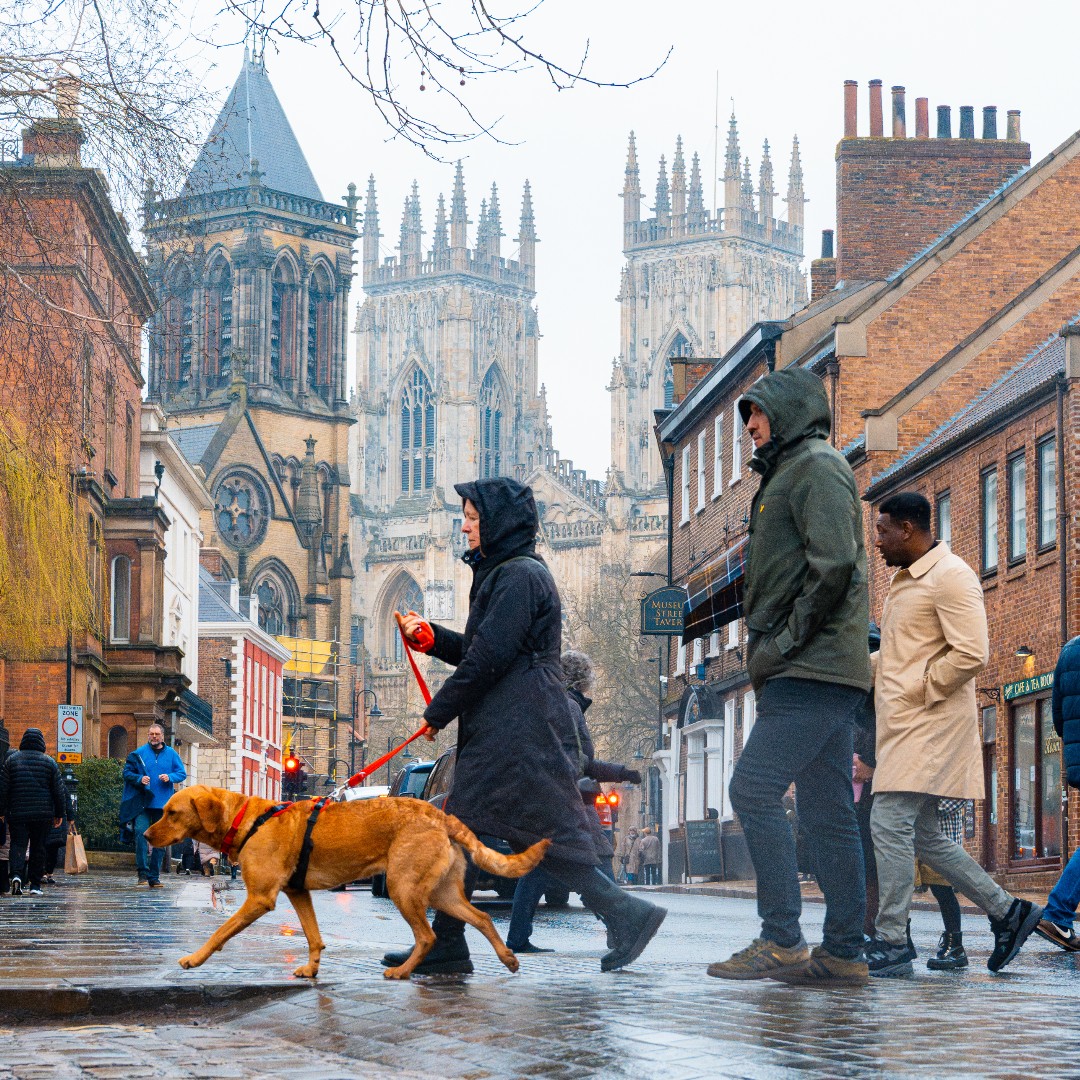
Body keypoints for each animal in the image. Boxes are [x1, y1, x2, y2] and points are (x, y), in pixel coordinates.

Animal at [143, 786, 548, 980]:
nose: (144, 835)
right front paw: (312, 968)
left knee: (428, 936)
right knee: (482, 918)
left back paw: (402, 971)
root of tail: (439, 815)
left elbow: (219, 932)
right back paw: (508, 959)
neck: (248, 819)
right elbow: (313, 936)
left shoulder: (259, 898)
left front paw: (195, 959)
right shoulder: (298, 892)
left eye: (171, 812)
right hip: (443, 892)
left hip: (403, 887)